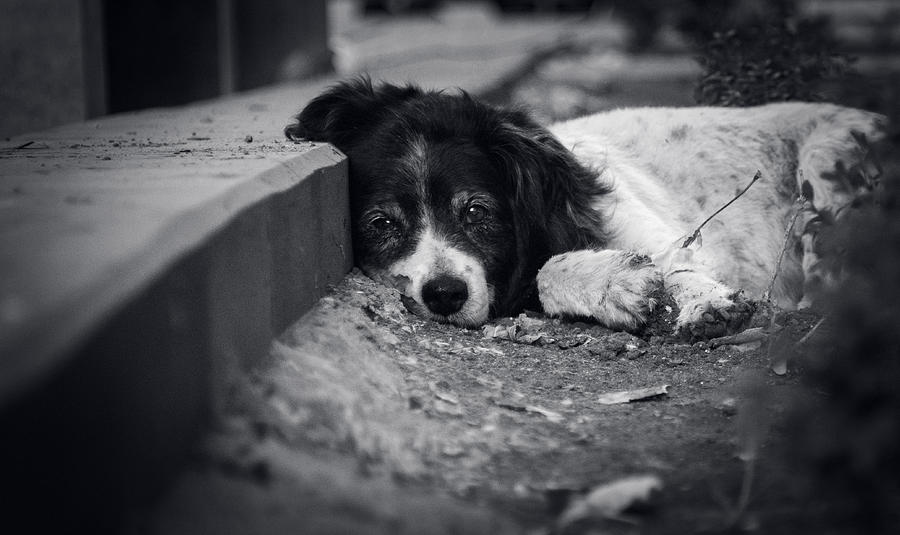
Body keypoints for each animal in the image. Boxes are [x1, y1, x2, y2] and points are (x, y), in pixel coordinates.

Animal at [288, 77, 884, 338]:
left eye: (477, 212)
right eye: (382, 224)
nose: (444, 295)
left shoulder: (664, 236)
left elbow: (677, 266)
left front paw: (698, 302)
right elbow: (546, 275)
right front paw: (617, 286)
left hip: (828, 163)